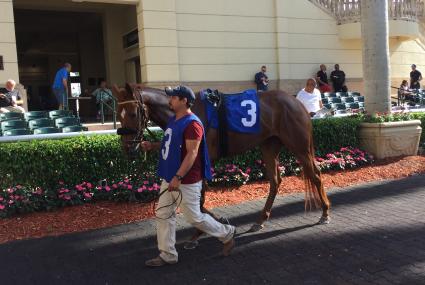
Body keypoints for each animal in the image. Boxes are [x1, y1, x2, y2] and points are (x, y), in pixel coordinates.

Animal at [111, 84, 330, 231]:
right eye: (118, 114)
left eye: (132, 113)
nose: (128, 148)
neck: (189, 112)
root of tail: (297, 102)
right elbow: (199, 202)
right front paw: (217, 220)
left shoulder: (201, 160)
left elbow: (200, 201)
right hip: (269, 146)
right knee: (276, 181)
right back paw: (260, 220)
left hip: (299, 146)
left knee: (316, 175)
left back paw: (325, 213)